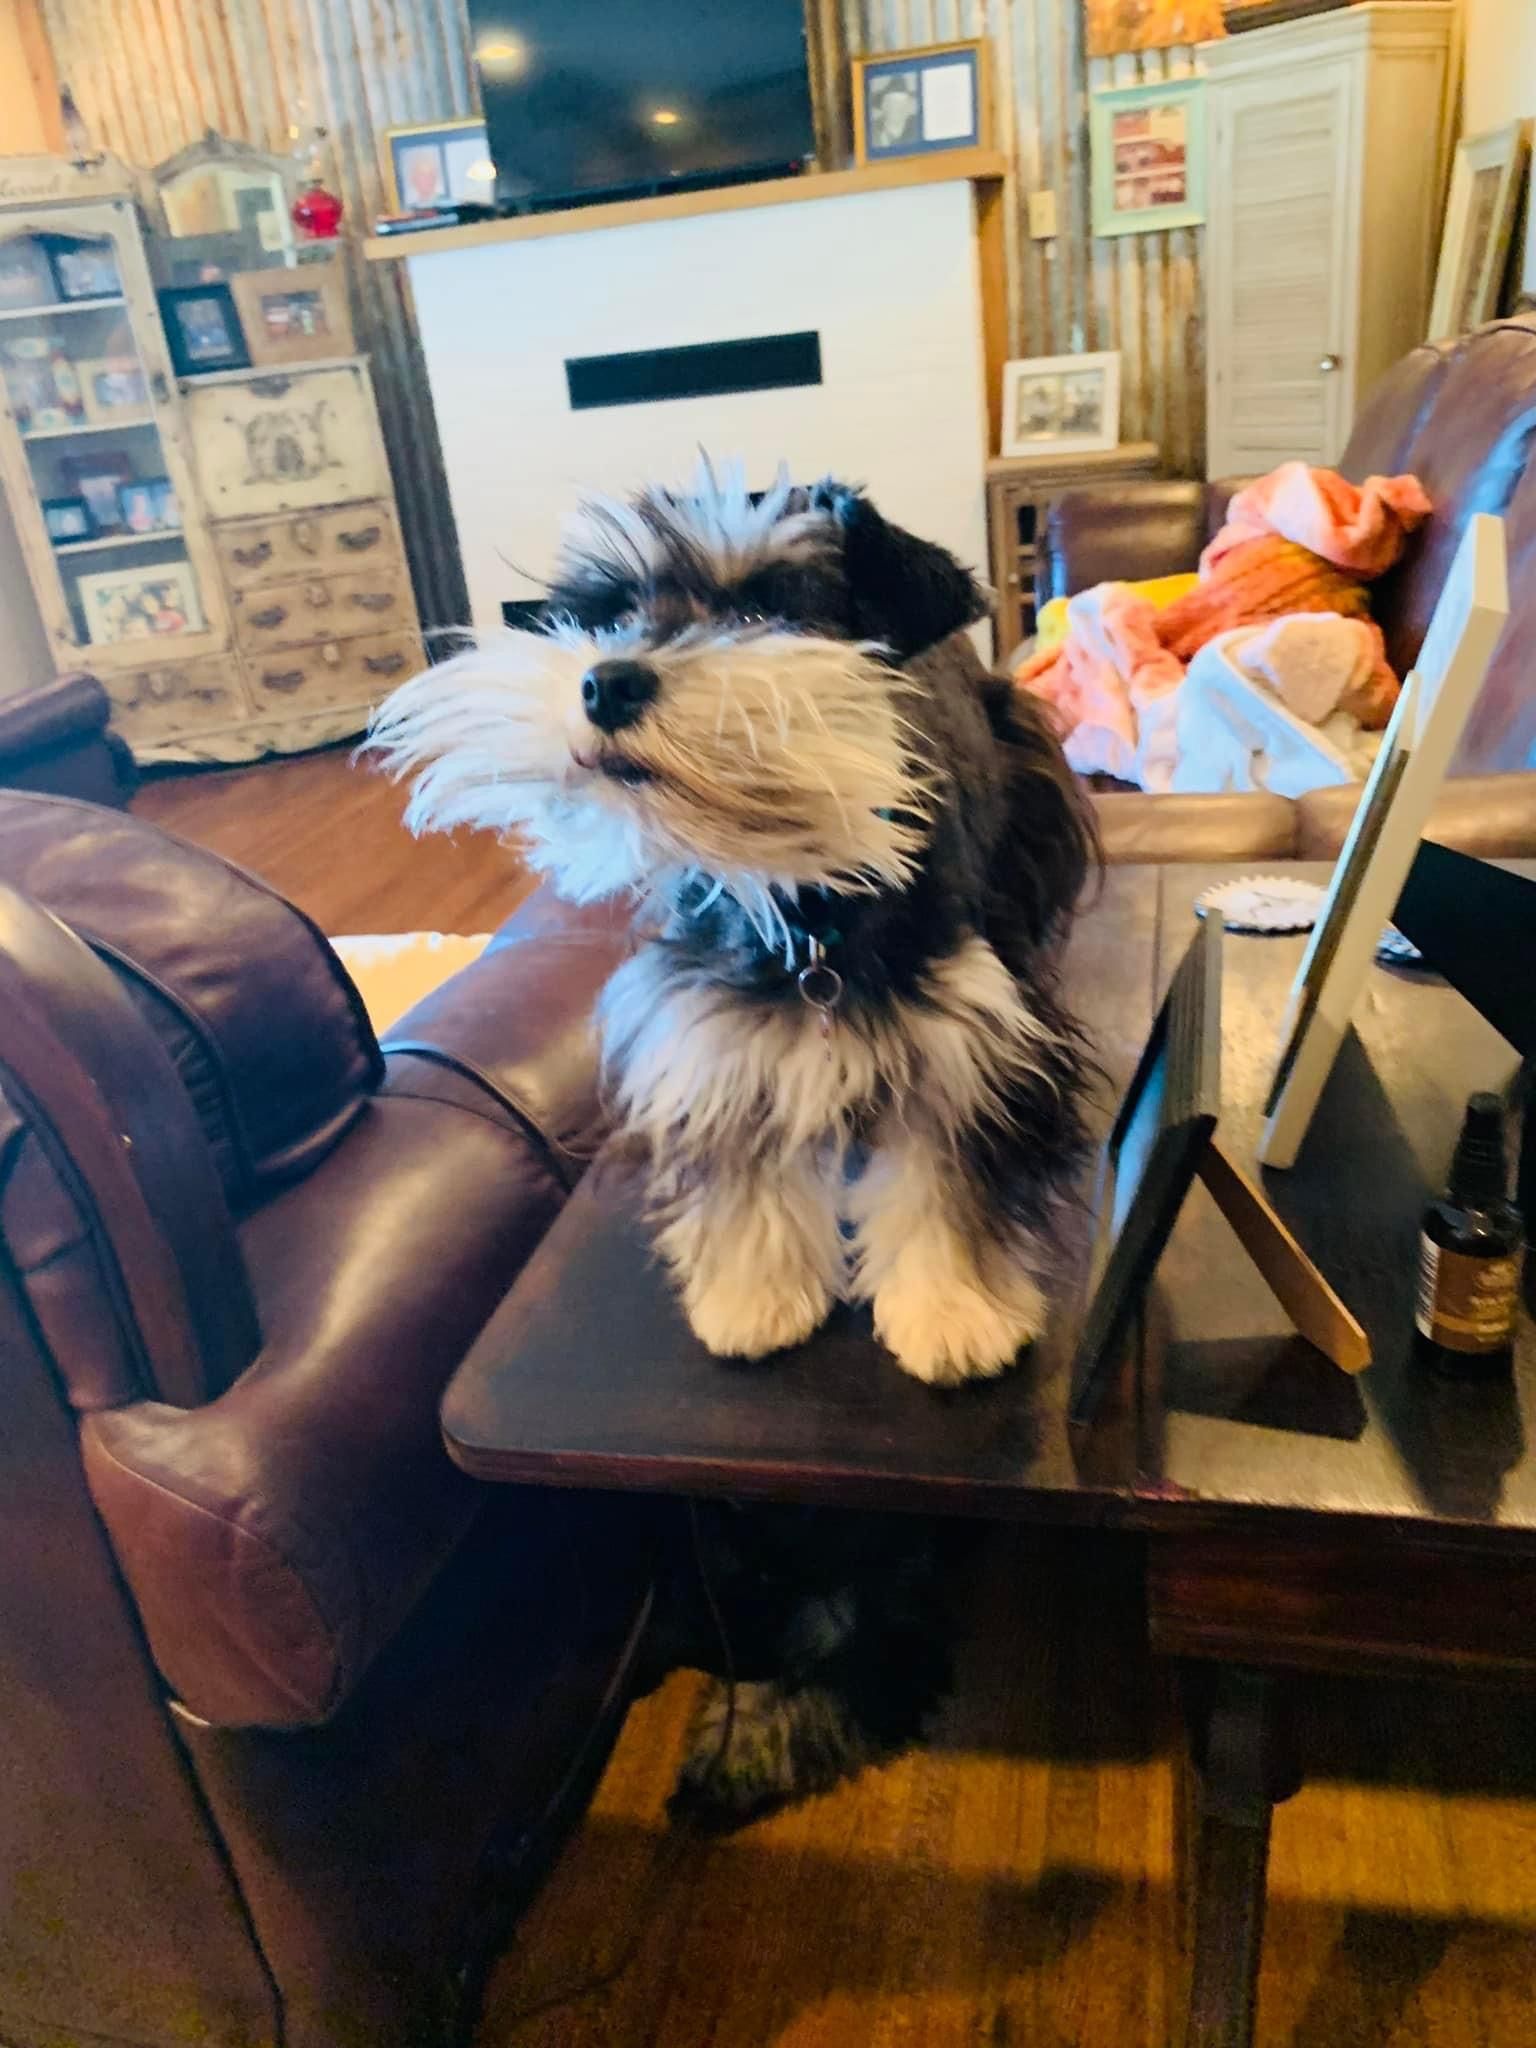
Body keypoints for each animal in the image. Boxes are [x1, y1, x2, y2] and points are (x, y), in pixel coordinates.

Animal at [370, 465, 1095, 1386]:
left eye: (760, 613)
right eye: (613, 613)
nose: (606, 682)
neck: (803, 896)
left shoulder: (969, 1047)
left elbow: (946, 1179)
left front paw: (953, 1313)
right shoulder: (716, 1034)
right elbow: (747, 1172)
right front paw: (757, 1296)